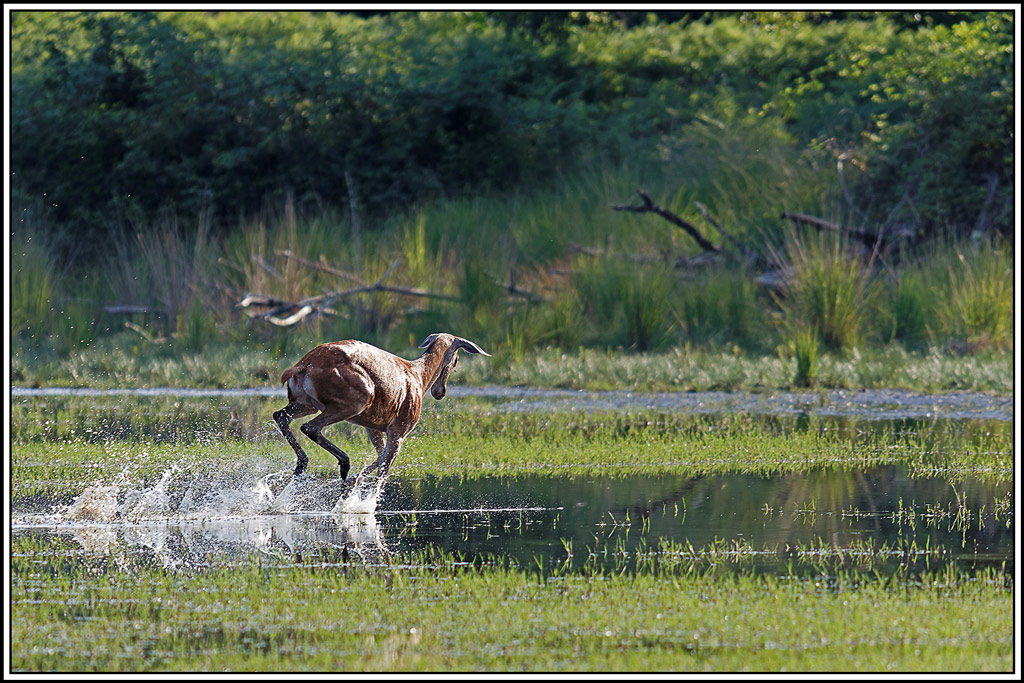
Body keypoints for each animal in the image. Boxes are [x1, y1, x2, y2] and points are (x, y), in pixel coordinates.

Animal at [273, 333, 490, 487]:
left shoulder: (373, 426)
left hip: (306, 403)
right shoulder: (399, 431)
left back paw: (302, 467)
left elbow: (377, 457)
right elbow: (381, 476)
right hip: (358, 400)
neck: (419, 377)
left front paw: (353, 484)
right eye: (456, 360)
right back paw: (344, 464)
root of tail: (302, 366)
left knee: (280, 416)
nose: (440, 392)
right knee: (309, 427)